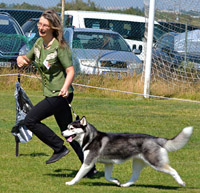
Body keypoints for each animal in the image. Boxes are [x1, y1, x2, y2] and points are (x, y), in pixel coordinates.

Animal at [62, 116, 192, 187]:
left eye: (71, 128)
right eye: (67, 127)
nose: (62, 133)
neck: (90, 138)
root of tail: (154, 138)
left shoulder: (88, 163)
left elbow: (78, 175)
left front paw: (71, 183)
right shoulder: (109, 163)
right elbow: (107, 177)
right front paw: (116, 181)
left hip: (156, 163)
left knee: (173, 171)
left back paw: (181, 183)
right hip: (137, 163)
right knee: (134, 177)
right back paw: (125, 185)